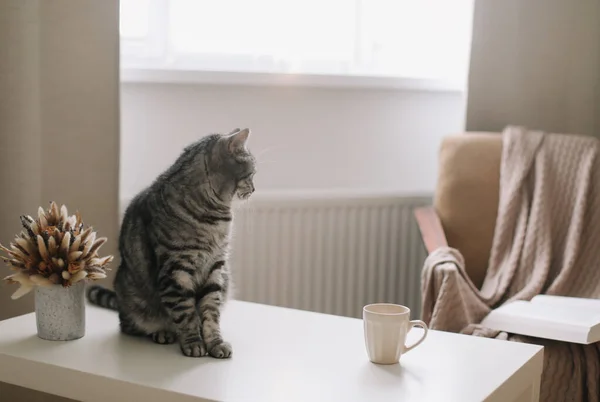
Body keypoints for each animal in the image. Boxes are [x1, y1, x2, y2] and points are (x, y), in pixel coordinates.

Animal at [86, 127, 255, 356]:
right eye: (252, 173)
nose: (254, 189)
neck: (214, 220)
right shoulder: (176, 271)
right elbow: (186, 314)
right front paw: (193, 343)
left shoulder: (216, 268)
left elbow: (211, 313)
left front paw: (215, 343)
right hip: (133, 300)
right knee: (130, 325)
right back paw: (163, 332)